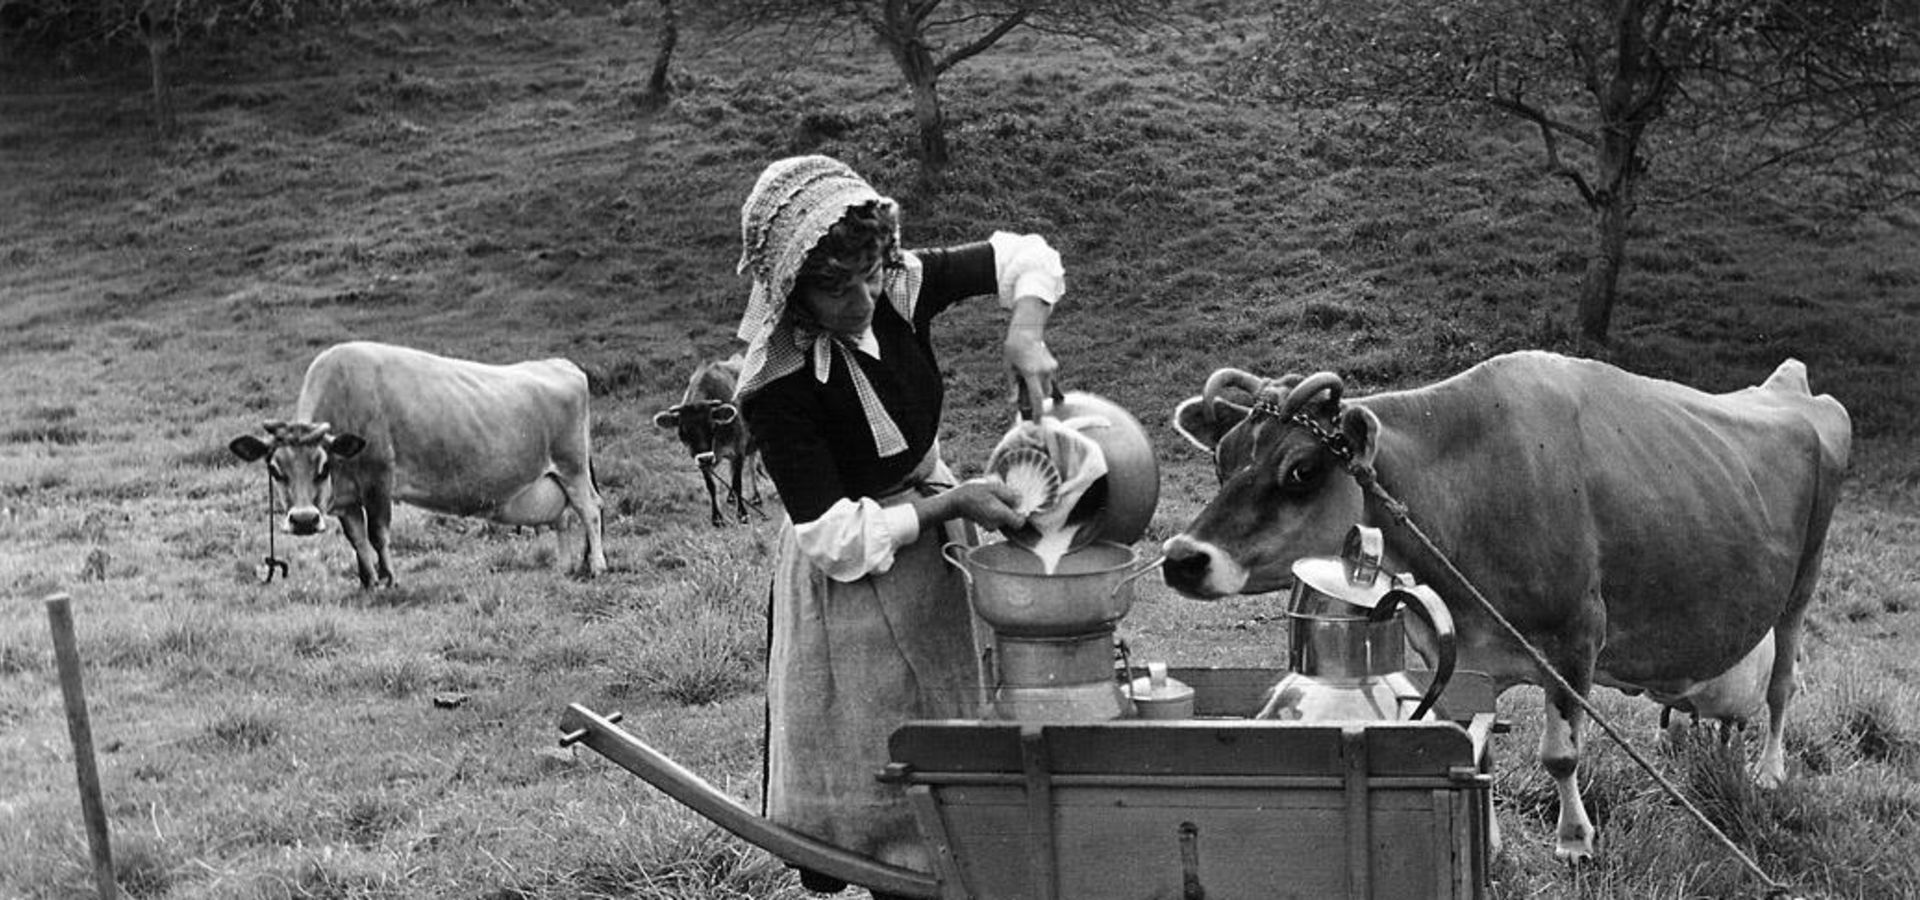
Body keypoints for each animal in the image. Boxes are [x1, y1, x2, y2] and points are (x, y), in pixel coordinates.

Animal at [230, 339, 606, 587]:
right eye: (275, 470)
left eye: (323, 467)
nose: (305, 520)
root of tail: (561, 364)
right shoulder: (348, 498)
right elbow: (357, 540)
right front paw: (368, 583)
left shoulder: (379, 478)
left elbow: (378, 534)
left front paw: (389, 579)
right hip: (555, 478)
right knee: (563, 518)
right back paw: (565, 567)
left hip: (572, 465)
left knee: (590, 509)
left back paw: (598, 566)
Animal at [652, 355, 756, 525]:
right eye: (683, 432)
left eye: (713, 426)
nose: (706, 458)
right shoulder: (700, 459)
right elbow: (711, 486)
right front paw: (717, 517)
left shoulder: (739, 450)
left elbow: (738, 483)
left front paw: (742, 514)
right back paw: (731, 497)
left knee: (752, 466)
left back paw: (756, 497)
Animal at [1159, 349, 1850, 855]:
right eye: (1222, 460)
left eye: (1301, 469)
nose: (1181, 557)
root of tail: (1791, 387)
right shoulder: (1467, 653)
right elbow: (1478, 741)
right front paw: (1487, 842)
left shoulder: (1577, 636)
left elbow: (1561, 753)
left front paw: (1574, 842)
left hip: (1803, 581)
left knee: (1782, 683)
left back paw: (1769, 772)